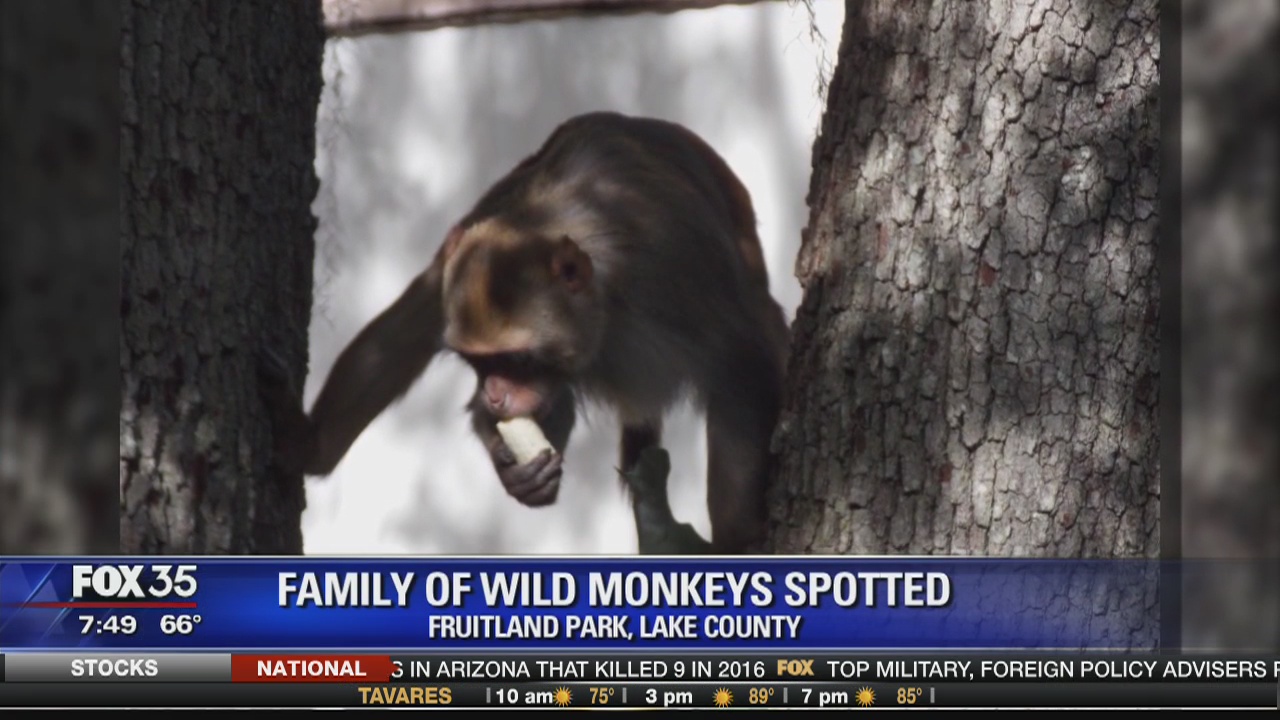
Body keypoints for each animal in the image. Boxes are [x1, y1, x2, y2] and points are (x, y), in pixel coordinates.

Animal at [263, 112, 789, 553]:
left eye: (517, 360)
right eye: (479, 363)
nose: (494, 394)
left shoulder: (677, 269)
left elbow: (742, 362)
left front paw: (737, 538)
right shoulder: (460, 260)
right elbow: (405, 331)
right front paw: (313, 445)